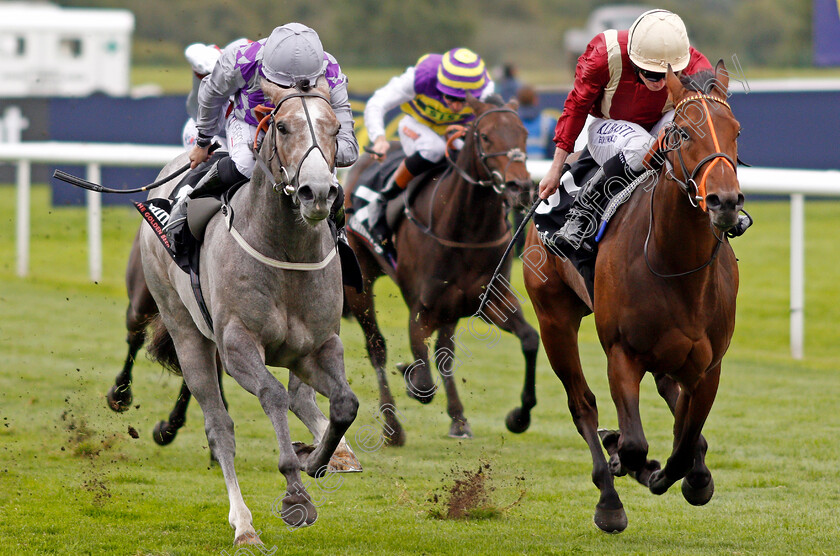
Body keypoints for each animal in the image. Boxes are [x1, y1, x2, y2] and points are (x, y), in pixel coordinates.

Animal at [139, 78, 356, 544]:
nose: (317, 192)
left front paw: (316, 459)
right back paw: (243, 525)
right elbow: (271, 395)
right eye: (284, 127)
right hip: (186, 332)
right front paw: (295, 490)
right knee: (219, 427)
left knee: (303, 398)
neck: (285, 249)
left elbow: (344, 403)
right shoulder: (238, 344)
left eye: (335, 129)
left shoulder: (319, 346)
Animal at [346, 95, 540, 444]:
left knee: (444, 351)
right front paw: (409, 377)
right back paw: (392, 427)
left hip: (449, 309)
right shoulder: (421, 310)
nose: (520, 186)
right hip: (360, 280)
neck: (466, 230)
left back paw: (458, 419)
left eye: (524, 134)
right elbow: (423, 381)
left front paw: (519, 417)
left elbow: (530, 340)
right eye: (485, 136)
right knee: (377, 347)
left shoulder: (490, 299)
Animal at [520, 63, 744, 532]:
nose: (725, 202)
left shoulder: (709, 367)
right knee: (582, 405)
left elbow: (686, 441)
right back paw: (609, 492)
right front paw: (625, 459)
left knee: (670, 399)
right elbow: (637, 443)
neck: (676, 266)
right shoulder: (621, 352)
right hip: (554, 318)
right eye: (682, 133)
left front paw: (690, 477)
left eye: (736, 131)